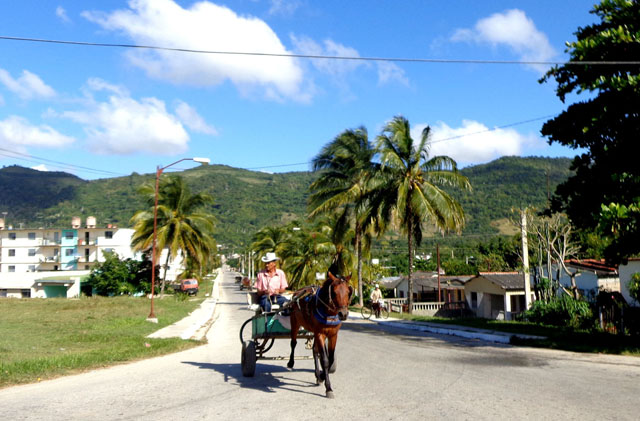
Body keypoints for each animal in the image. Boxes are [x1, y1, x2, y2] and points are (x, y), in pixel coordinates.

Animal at [286, 270, 352, 398]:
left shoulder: (333, 335)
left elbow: (330, 359)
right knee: (293, 343)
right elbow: (325, 360)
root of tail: (297, 292)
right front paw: (329, 388)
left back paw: (317, 375)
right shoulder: (320, 334)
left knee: (315, 351)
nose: (343, 314)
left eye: (348, 292)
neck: (329, 312)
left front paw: (321, 375)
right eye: (334, 293)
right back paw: (291, 362)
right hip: (295, 322)